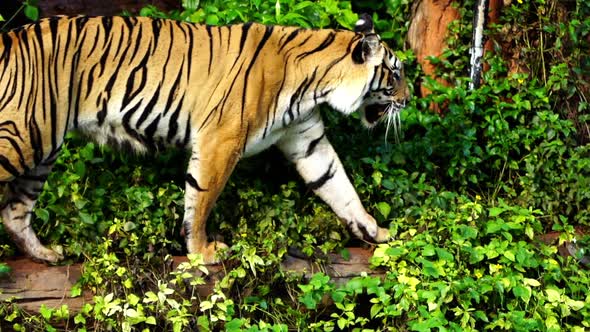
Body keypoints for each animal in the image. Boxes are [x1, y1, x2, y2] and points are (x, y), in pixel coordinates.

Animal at [0, 13, 412, 264]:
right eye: (395, 74)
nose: (409, 100)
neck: (317, 84)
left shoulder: (308, 141)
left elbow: (339, 185)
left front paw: (374, 229)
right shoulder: (221, 140)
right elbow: (200, 199)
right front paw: (202, 252)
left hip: (41, 148)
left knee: (14, 212)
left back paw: (45, 254)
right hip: (22, 137)